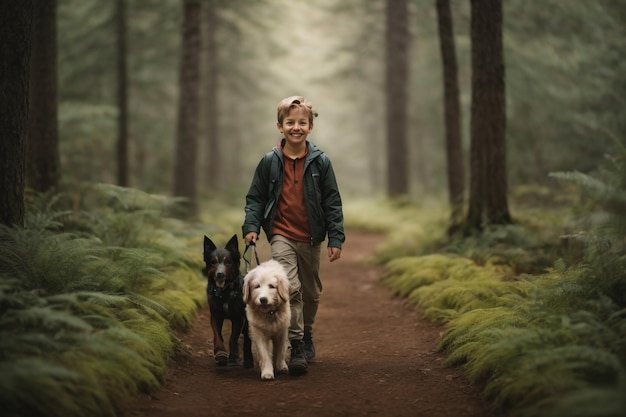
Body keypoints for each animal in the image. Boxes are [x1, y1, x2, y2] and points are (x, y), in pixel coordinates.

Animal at [205, 234, 254, 368]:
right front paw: (220, 353)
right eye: (213, 262)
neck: (225, 292)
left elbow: (233, 337)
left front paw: (234, 356)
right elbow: (217, 335)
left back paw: (248, 360)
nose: (220, 274)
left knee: (247, 339)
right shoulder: (215, 315)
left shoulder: (238, 318)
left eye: (228, 262)